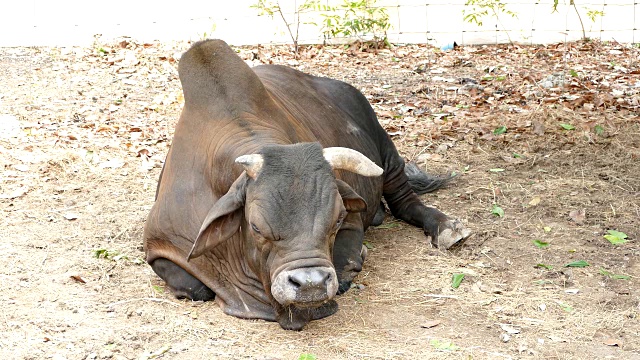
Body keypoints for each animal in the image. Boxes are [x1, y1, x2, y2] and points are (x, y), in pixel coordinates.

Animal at [144, 38, 470, 330]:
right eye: (256, 227)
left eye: (337, 220)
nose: (311, 284)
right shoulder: (158, 246)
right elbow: (196, 289)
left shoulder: (353, 219)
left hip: (386, 150)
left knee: (405, 202)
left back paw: (446, 227)